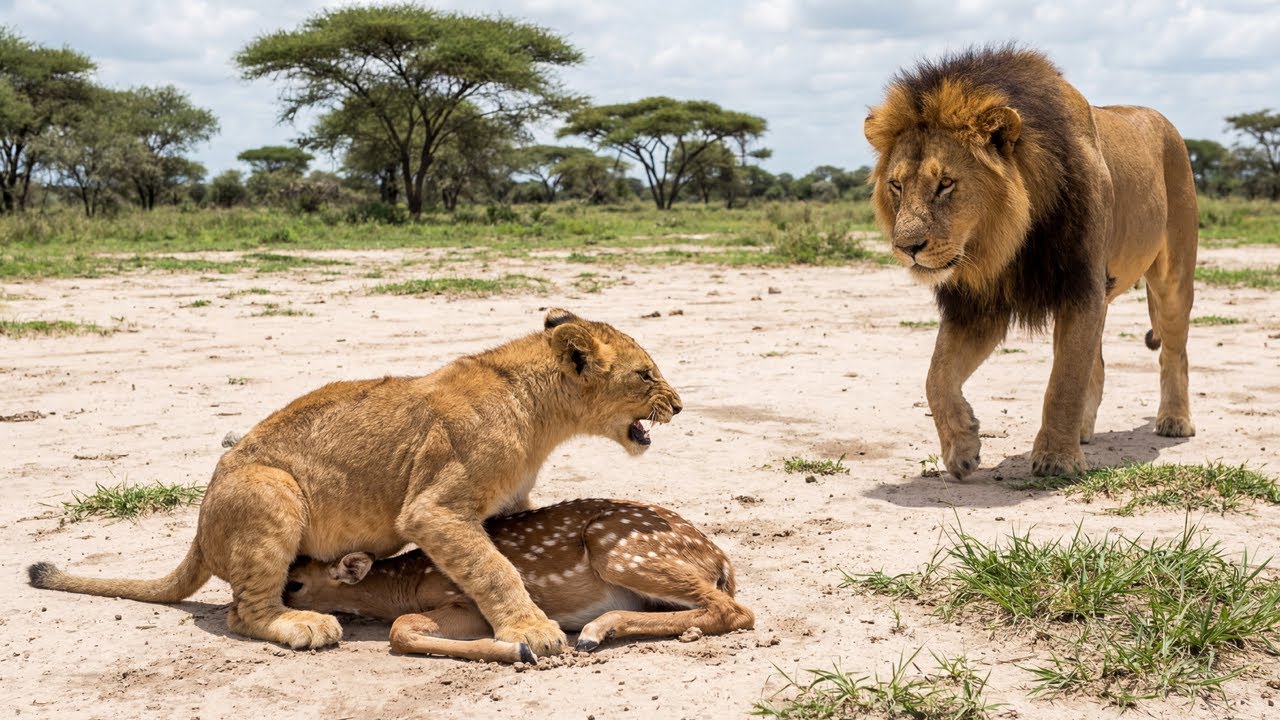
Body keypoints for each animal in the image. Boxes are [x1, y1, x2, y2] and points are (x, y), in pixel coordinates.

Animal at [27, 309, 682, 657]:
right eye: (646, 373)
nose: (679, 404)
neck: (543, 415)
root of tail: (199, 528)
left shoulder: (506, 505)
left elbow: (501, 559)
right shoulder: (433, 509)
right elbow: (494, 569)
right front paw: (533, 631)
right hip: (270, 491)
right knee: (243, 612)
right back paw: (304, 625)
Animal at [284, 498, 754, 663]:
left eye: (295, 584)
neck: (407, 584)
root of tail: (721, 559)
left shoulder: (465, 602)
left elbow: (400, 628)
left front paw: (519, 649)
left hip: (620, 550)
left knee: (736, 611)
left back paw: (594, 631)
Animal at [863, 45, 1197, 478]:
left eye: (945, 184)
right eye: (897, 185)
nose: (907, 246)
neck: (1005, 242)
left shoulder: (1080, 287)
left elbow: (1064, 381)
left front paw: (1056, 459)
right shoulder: (978, 306)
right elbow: (936, 377)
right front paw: (962, 447)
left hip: (1173, 275)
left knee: (1174, 351)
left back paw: (1174, 420)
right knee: (1098, 363)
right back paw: (1083, 430)